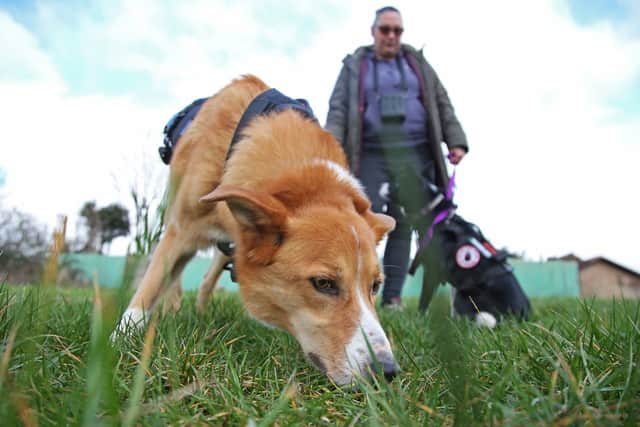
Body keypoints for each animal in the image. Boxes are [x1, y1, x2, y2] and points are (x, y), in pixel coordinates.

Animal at [112, 75, 398, 386]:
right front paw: (118, 341)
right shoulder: (181, 231)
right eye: (323, 283)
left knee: (208, 276)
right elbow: (149, 287)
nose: (388, 372)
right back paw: (173, 306)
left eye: (375, 286)